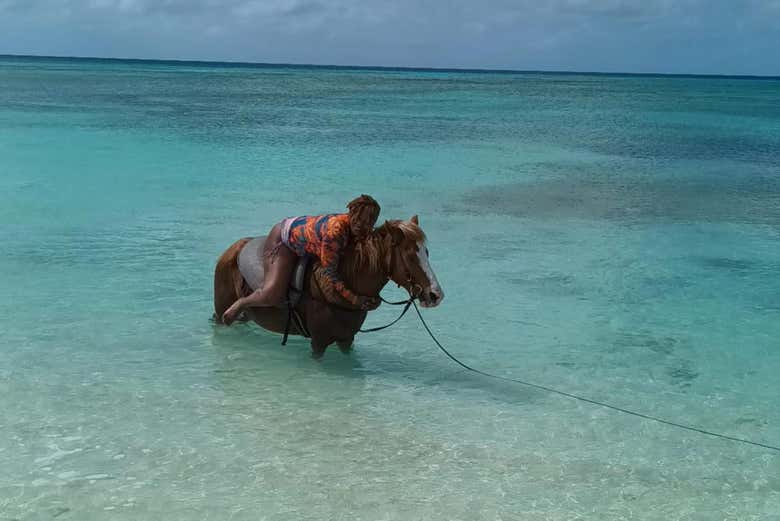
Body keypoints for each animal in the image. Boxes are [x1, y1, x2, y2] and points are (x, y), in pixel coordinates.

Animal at [213, 215, 444, 357]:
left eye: (427, 252)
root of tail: (233, 249)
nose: (435, 294)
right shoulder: (319, 342)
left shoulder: (346, 339)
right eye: (410, 256)